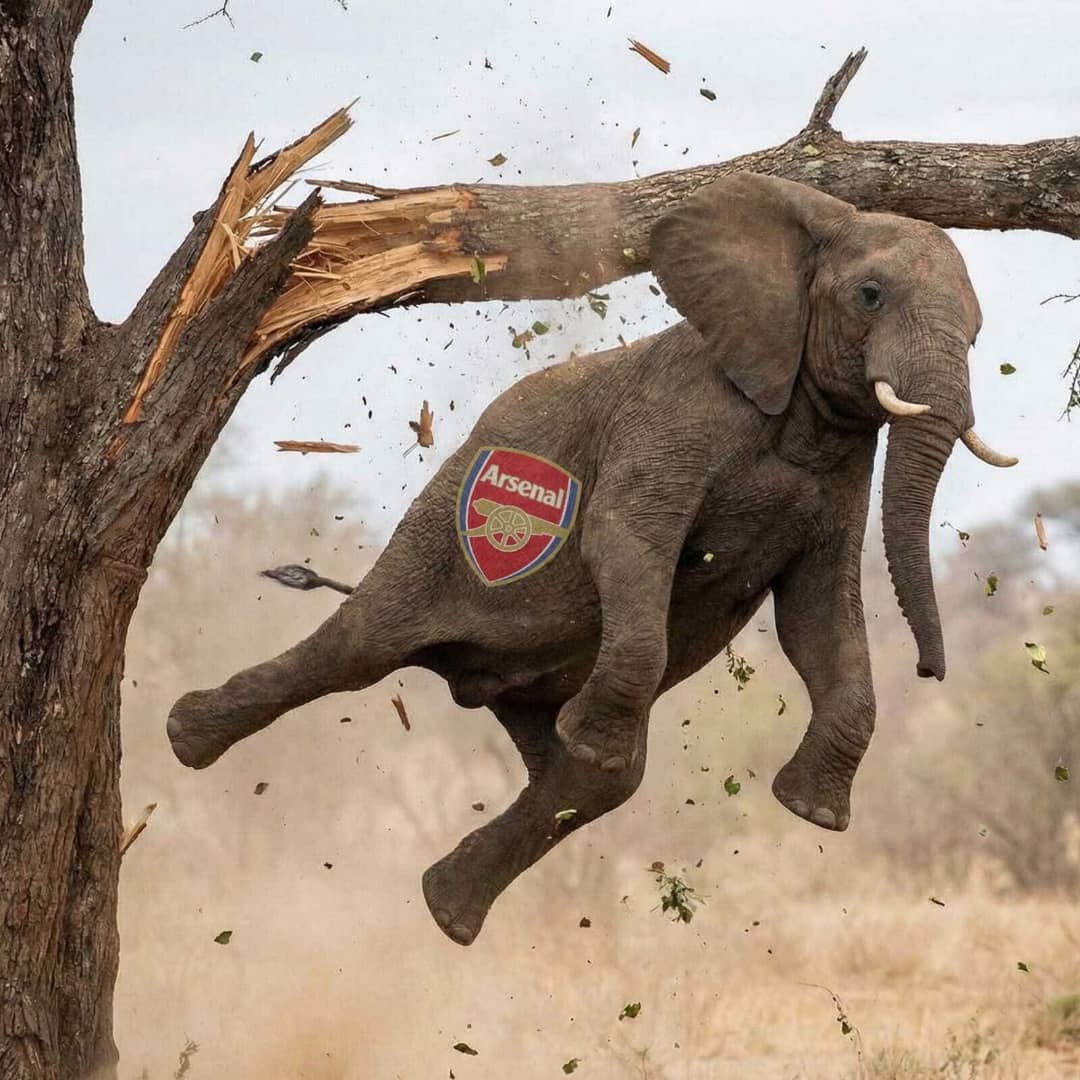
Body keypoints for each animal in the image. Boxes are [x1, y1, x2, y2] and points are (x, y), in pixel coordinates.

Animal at [167, 172, 1016, 946]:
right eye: (870, 296)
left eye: (980, 334)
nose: (931, 670)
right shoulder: (676, 415)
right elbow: (626, 535)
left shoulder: (839, 476)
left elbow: (819, 617)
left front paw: (810, 811)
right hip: (433, 536)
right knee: (355, 649)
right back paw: (186, 739)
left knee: (592, 781)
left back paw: (450, 911)